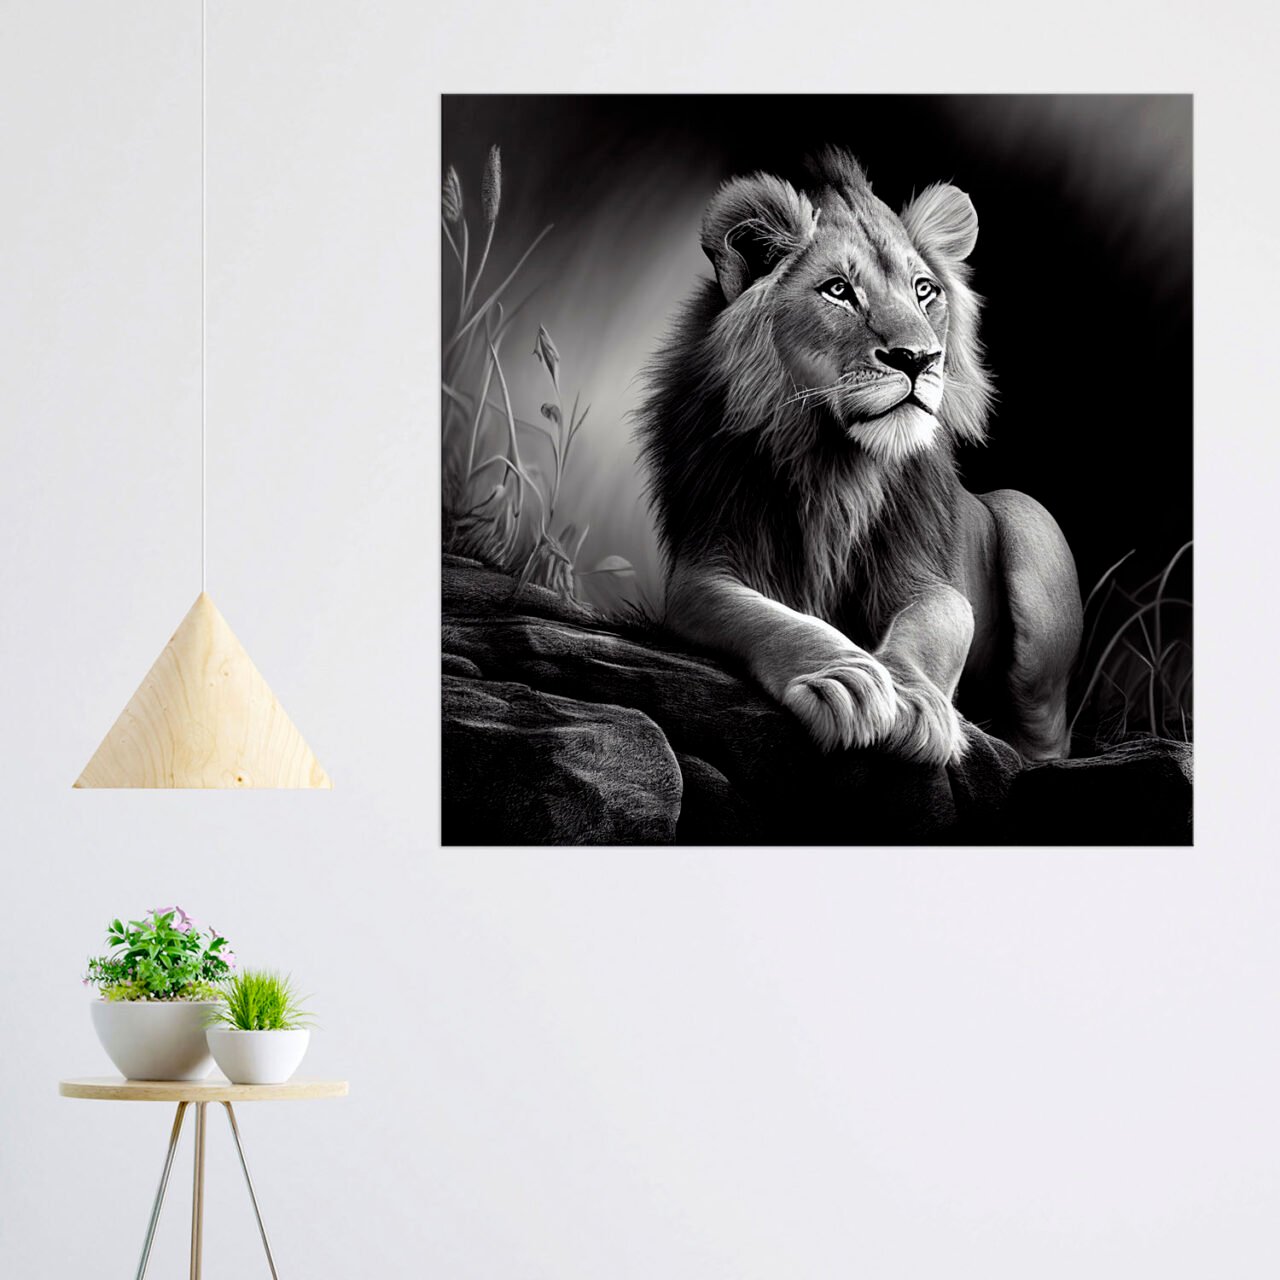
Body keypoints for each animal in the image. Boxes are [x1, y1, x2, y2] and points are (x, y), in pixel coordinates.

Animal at [638, 148, 1082, 765]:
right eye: (838, 290)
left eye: (925, 290)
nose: (918, 358)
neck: (836, 463)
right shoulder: (705, 565)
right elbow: (772, 619)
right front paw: (843, 678)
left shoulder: (924, 572)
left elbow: (933, 625)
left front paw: (913, 700)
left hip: (1029, 518)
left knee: (1046, 732)